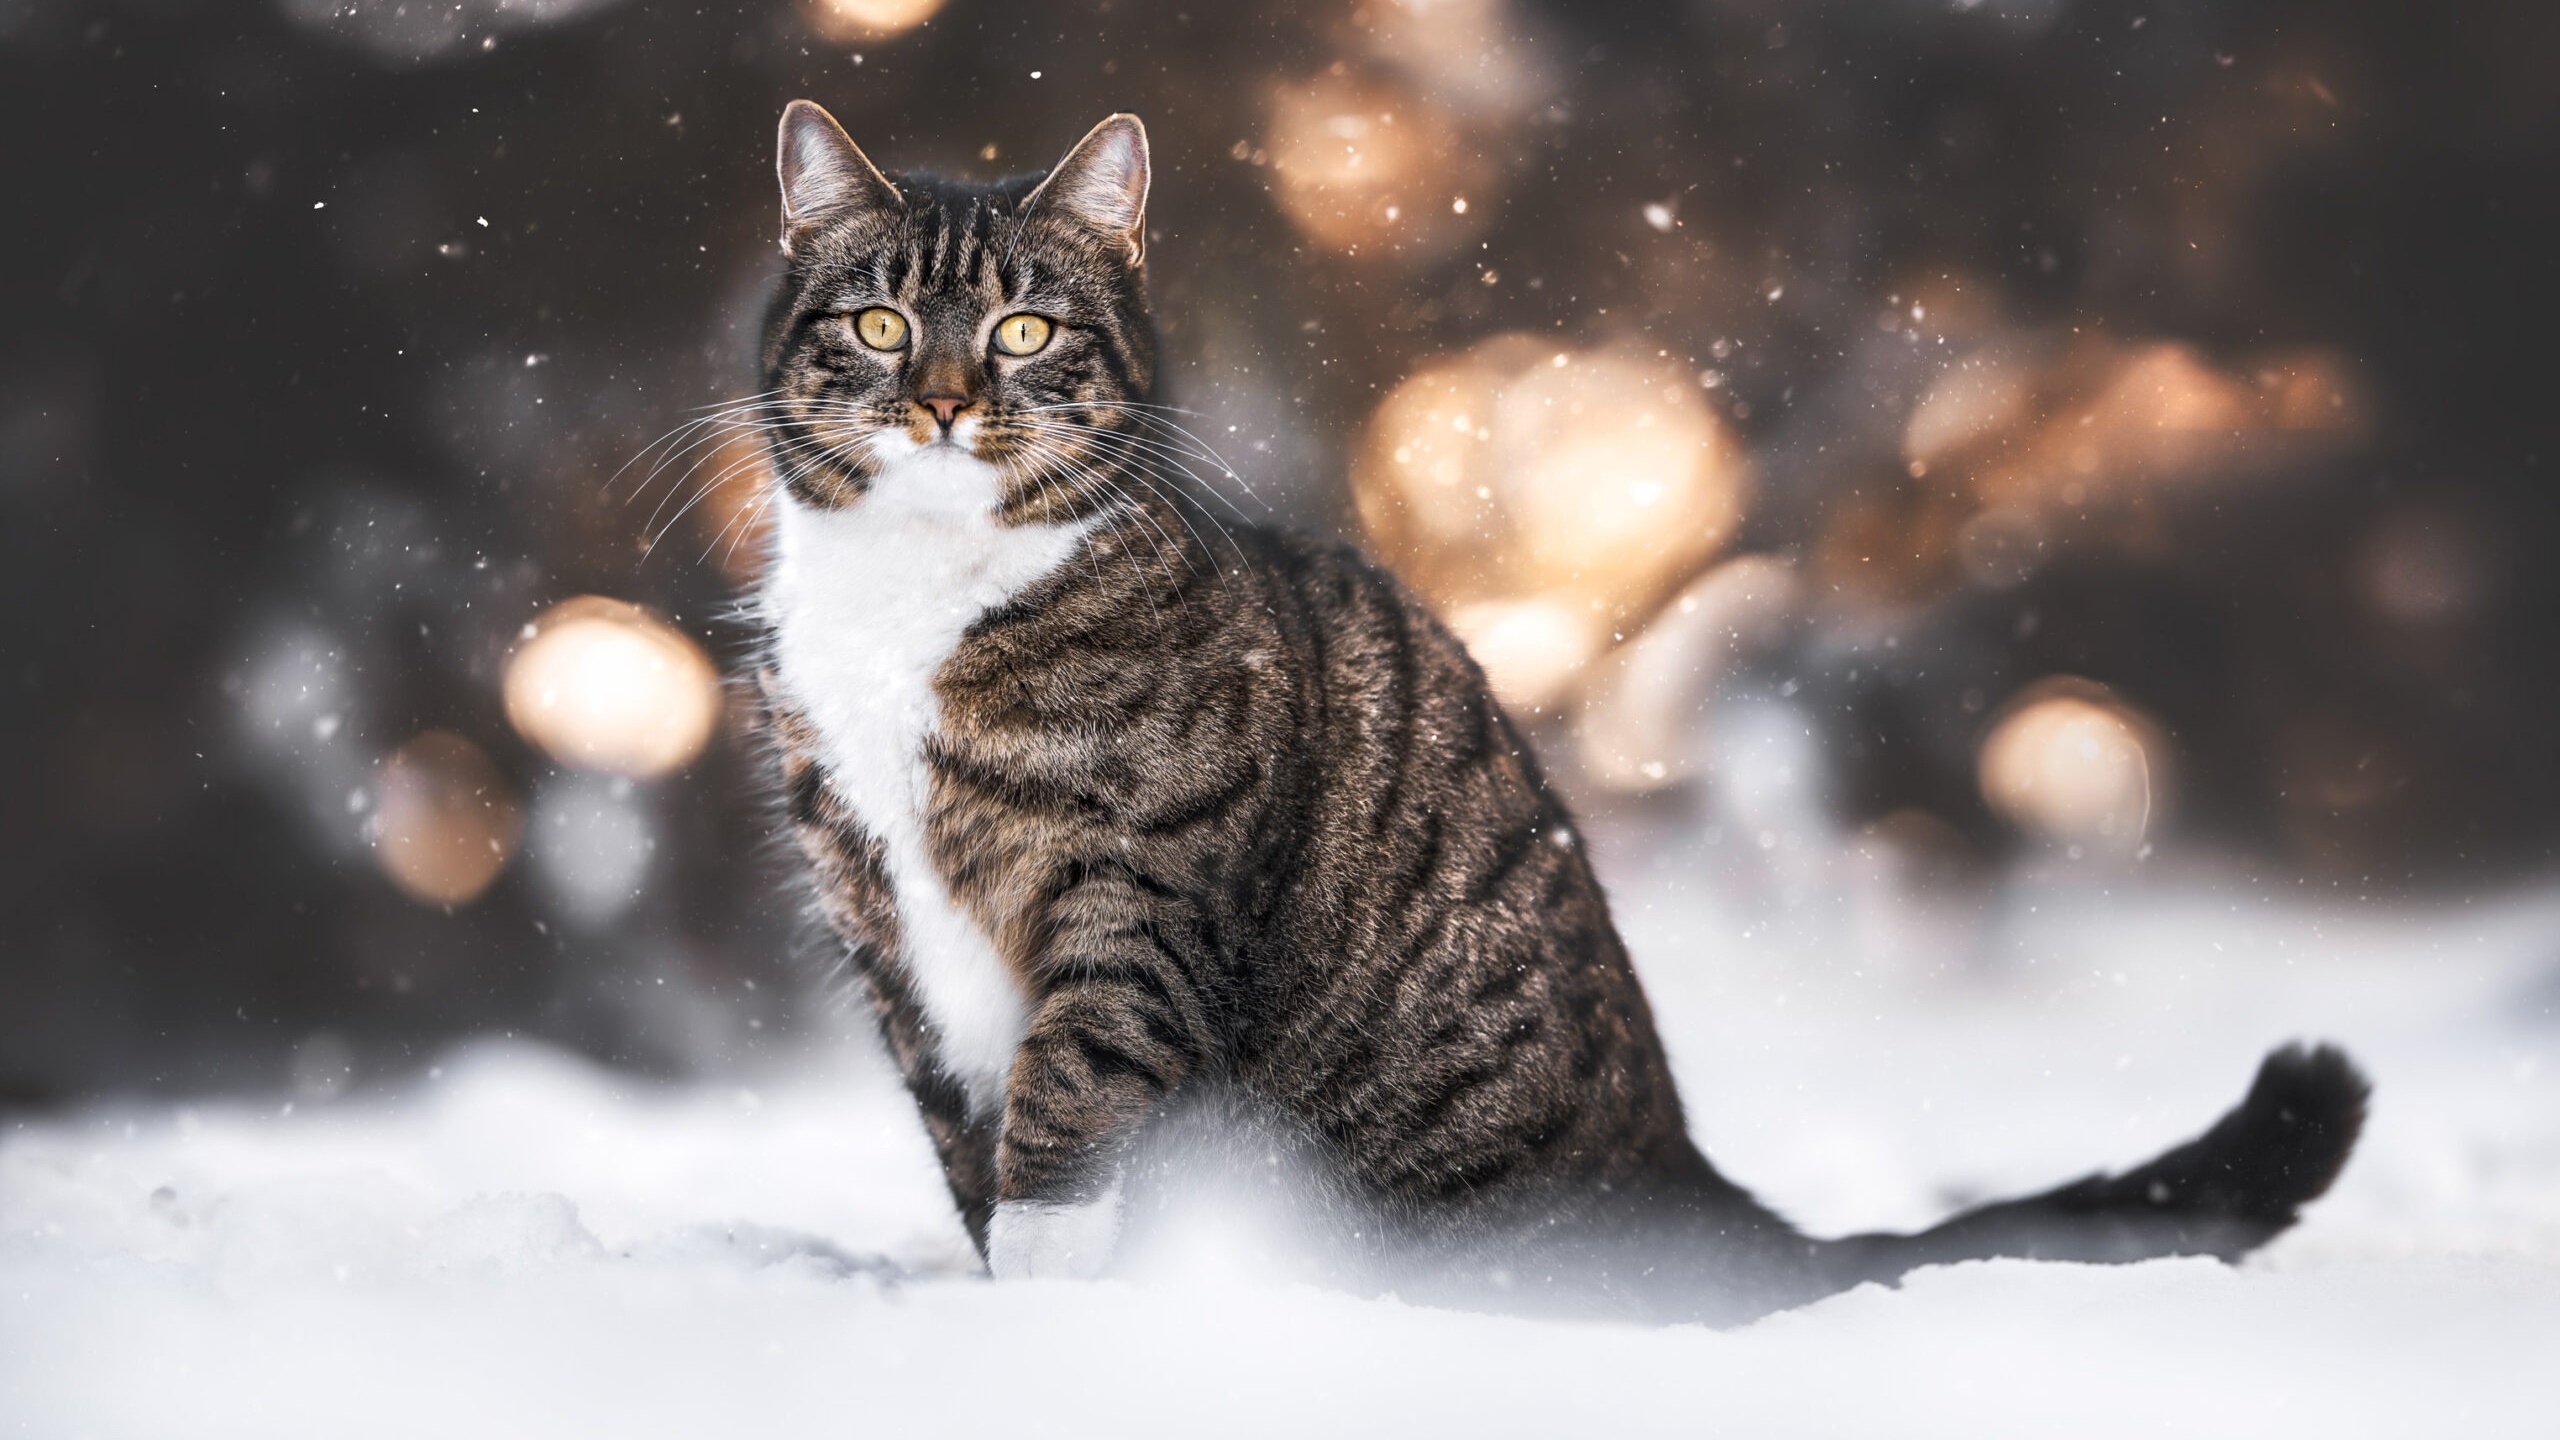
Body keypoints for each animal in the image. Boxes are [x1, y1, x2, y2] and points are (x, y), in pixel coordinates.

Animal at [737, 95, 2355, 1322]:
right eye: (879, 323)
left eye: (1023, 332)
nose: (946, 399)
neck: (912, 605)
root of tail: (1701, 1194)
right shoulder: (884, 932)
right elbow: (966, 1133)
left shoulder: (1138, 886)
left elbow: (1069, 1103)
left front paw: (1042, 1324)